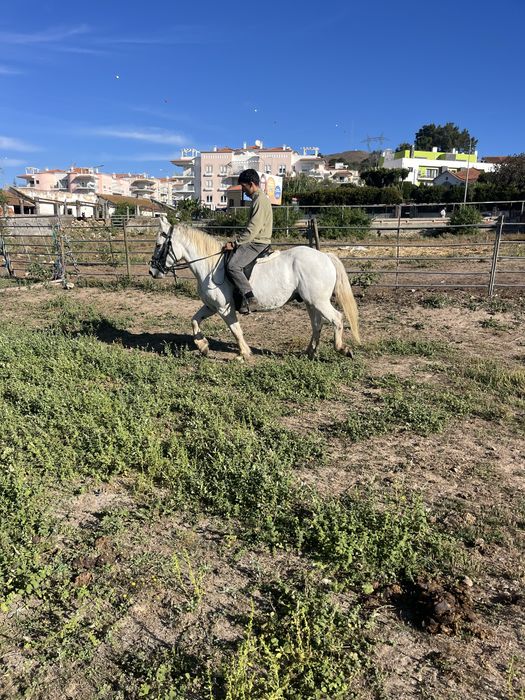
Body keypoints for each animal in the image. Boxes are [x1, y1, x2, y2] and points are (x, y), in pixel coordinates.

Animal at [149, 216, 361, 361]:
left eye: (159, 245)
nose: (152, 271)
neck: (210, 267)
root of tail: (325, 256)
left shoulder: (224, 309)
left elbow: (235, 330)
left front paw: (243, 354)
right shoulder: (210, 306)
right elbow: (194, 320)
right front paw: (202, 346)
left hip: (319, 301)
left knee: (337, 319)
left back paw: (342, 348)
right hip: (311, 302)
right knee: (317, 324)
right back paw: (309, 352)